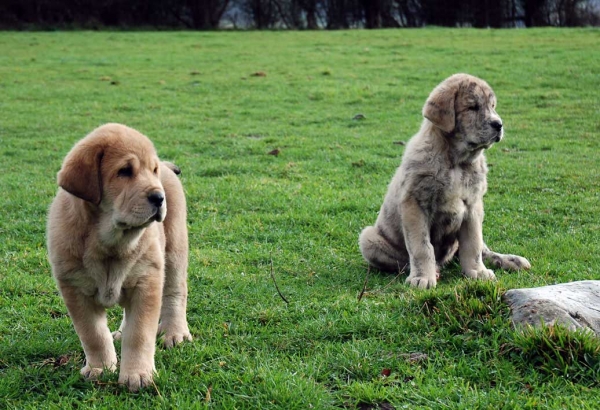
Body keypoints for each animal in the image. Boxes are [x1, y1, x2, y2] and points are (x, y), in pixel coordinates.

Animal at [47, 124, 191, 390]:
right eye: (124, 171)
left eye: (152, 171)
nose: (159, 197)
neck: (109, 242)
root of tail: (167, 167)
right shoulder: (74, 288)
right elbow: (93, 334)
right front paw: (100, 368)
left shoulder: (147, 280)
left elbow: (140, 334)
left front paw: (138, 374)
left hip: (175, 249)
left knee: (176, 293)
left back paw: (175, 333)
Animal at [356, 75, 528, 290]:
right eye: (472, 107)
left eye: (492, 106)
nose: (499, 124)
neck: (456, 161)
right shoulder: (415, 204)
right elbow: (422, 246)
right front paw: (422, 277)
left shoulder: (473, 206)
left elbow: (473, 244)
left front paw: (477, 272)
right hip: (369, 238)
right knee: (404, 261)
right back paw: (432, 270)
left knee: (481, 249)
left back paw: (509, 260)